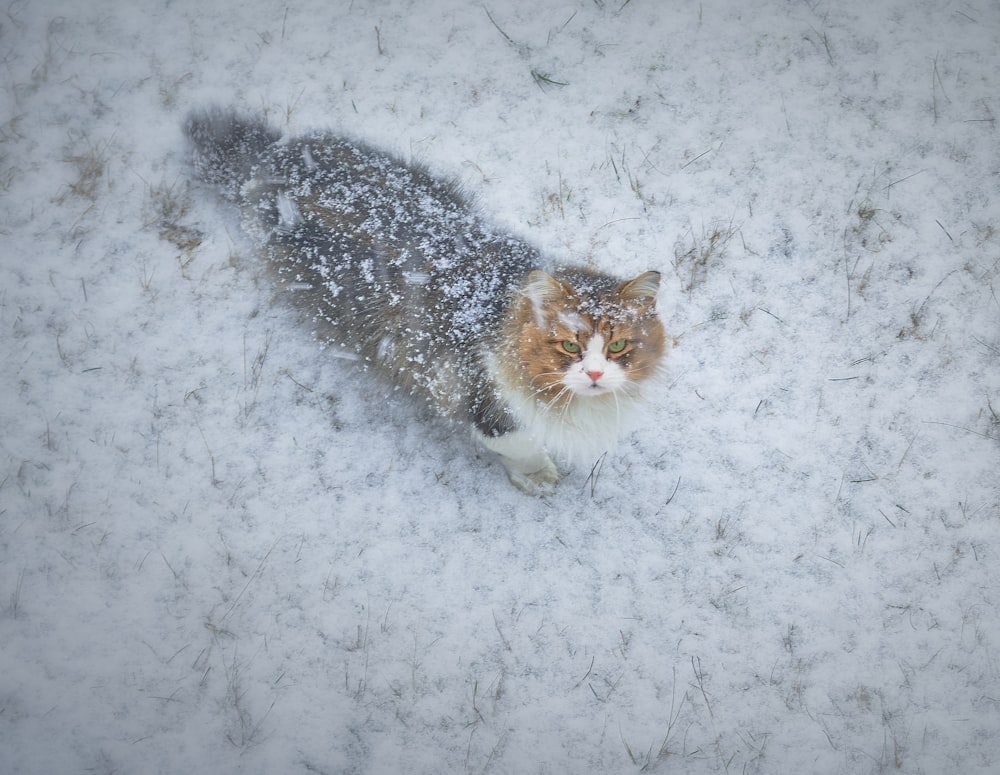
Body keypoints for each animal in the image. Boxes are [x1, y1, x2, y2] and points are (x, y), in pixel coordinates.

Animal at [184, 109, 668, 494]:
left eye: (618, 346)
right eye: (569, 345)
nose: (594, 374)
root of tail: (273, 152)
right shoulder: (476, 395)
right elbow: (518, 442)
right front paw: (536, 476)